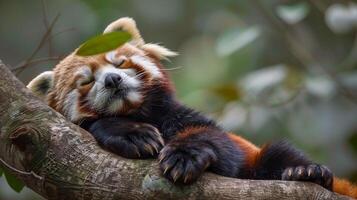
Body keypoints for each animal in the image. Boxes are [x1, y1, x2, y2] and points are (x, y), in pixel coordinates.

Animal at [27, 17, 356, 198]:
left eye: (119, 63)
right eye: (85, 81)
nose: (112, 80)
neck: (140, 111)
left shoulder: (184, 116)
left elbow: (216, 141)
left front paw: (184, 156)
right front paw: (133, 134)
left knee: (278, 154)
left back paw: (307, 172)